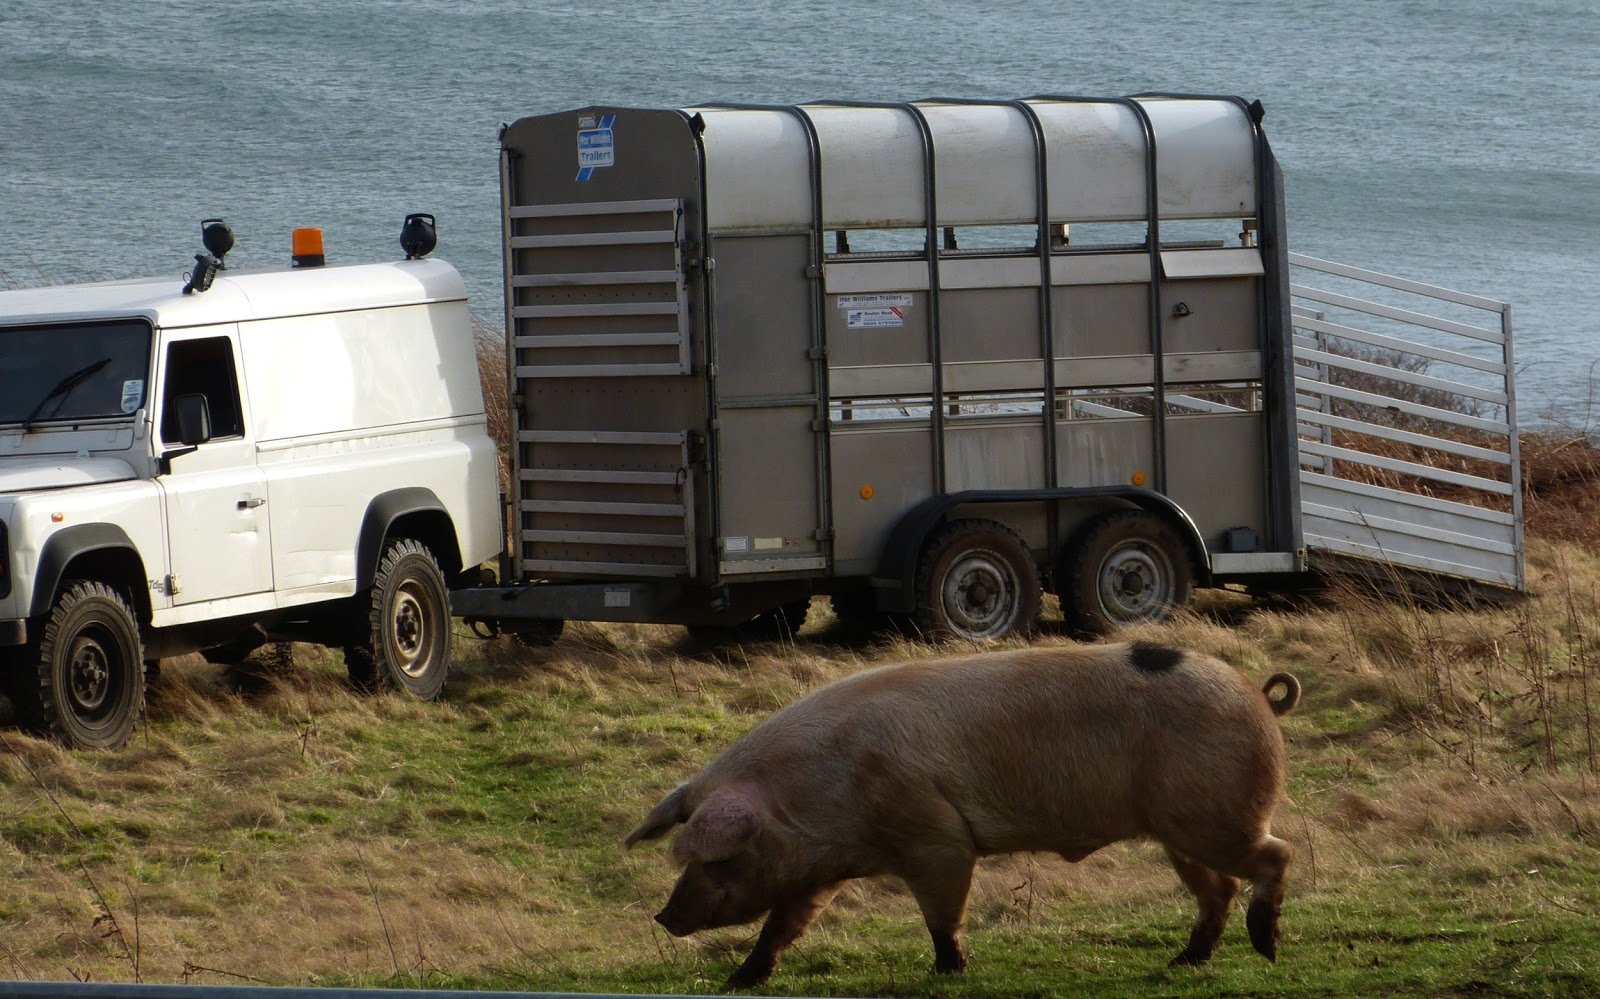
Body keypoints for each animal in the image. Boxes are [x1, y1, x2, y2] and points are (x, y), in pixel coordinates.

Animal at [624, 641, 1301, 989]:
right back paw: (1185, 962)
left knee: (1276, 854)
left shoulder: (935, 836)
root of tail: (1259, 696)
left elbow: (942, 912)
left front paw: (948, 971)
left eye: (717, 861)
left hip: (1212, 813)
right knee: (1219, 887)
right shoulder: (815, 872)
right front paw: (740, 982)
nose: (662, 915)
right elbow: (782, 926)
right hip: (1180, 828)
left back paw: (1267, 949)